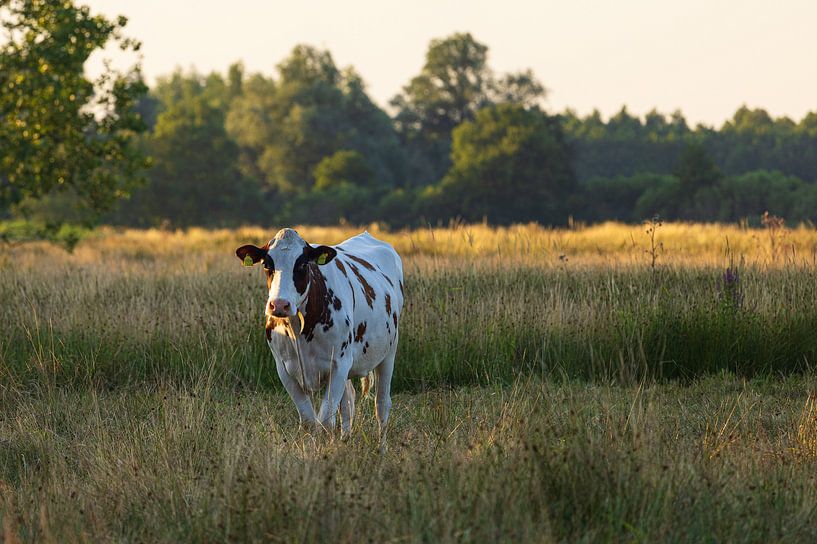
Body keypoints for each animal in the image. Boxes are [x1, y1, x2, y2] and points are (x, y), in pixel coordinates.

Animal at [235, 228, 403, 450]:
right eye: (267, 265)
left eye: (302, 265)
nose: (279, 305)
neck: (298, 331)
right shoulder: (284, 369)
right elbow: (309, 420)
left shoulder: (339, 365)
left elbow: (325, 421)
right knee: (348, 402)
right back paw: (345, 439)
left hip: (389, 353)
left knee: (382, 405)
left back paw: (381, 448)